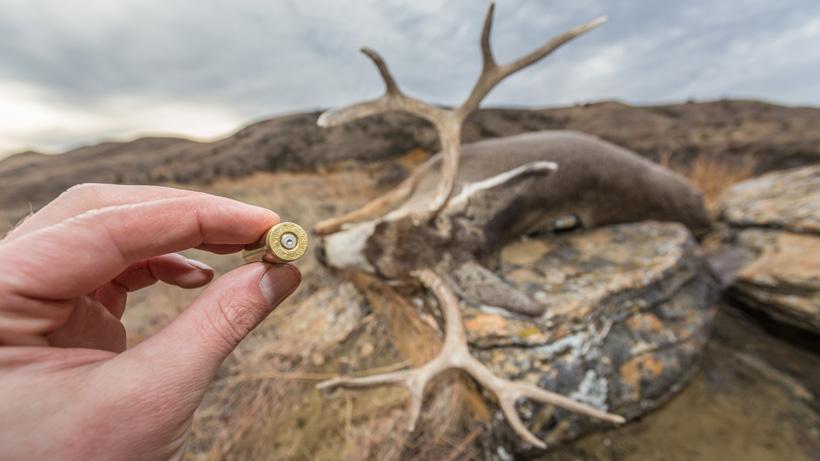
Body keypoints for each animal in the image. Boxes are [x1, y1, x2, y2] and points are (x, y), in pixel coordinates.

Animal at [312, 1, 710, 449]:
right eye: (385, 227)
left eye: (389, 275)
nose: (321, 253)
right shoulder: (418, 180)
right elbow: (370, 204)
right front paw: (325, 227)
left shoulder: (420, 178)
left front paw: (322, 231)